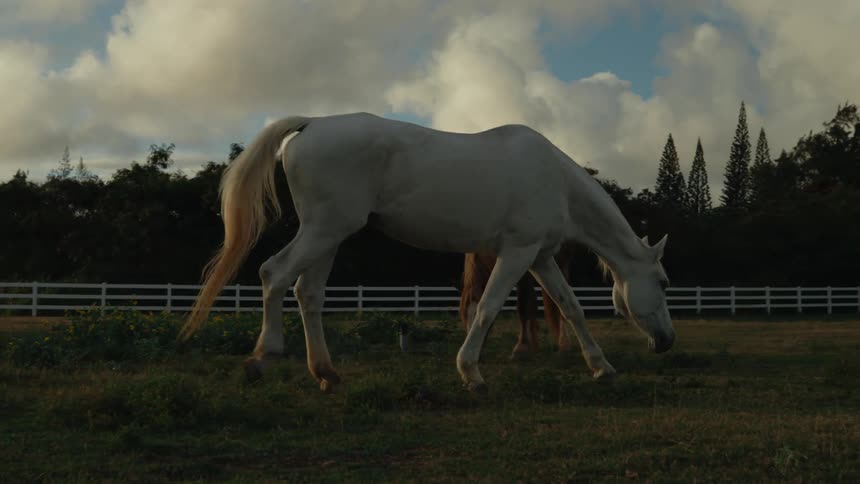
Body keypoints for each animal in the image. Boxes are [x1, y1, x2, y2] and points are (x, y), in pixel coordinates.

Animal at [182, 112, 675, 395]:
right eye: (665, 284)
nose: (668, 342)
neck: (556, 179)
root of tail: (312, 123)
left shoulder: (539, 256)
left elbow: (571, 308)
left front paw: (602, 367)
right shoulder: (517, 253)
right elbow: (489, 308)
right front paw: (470, 372)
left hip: (328, 235)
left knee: (308, 293)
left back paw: (326, 372)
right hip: (323, 231)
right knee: (274, 274)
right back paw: (263, 357)